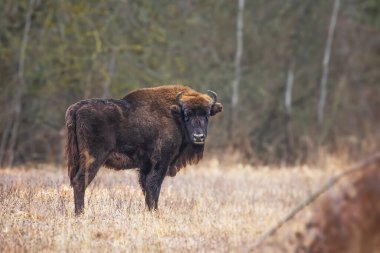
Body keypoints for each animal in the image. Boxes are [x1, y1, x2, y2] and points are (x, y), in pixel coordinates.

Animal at [65, 85, 223, 213]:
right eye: (187, 113)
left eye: (207, 114)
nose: (198, 136)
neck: (174, 115)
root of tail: (76, 108)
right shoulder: (161, 161)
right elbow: (153, 187)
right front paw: (155, 212)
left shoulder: (146, 166)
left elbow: (147, 188)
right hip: (93, 158)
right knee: (80, 181)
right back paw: (80, 213)